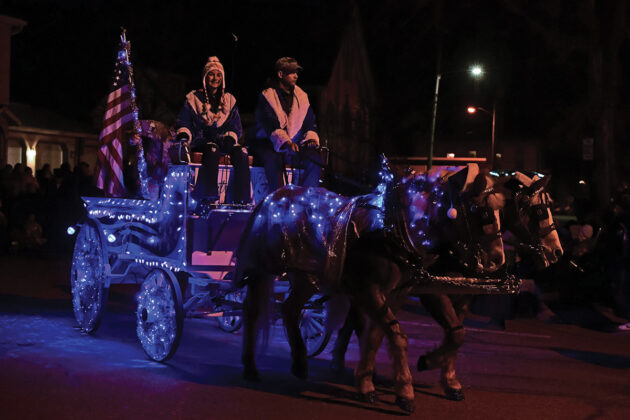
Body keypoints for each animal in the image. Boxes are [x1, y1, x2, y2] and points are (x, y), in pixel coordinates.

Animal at [235, 159, 506, 412]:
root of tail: (272, 195)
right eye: (479, 210)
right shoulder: (370, 290)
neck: (395, 228)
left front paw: (374, 381)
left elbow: (384, 335)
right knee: (252, 312)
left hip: (306, 276)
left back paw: (301, 363)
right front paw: (404, 391)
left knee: (291, 309)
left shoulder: (401, 292)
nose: (497, 260)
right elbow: (395, 335)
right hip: (261, 268)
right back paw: (250, 366)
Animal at [418, 171, 564, 400]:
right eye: (540, 211)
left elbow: (456, 336)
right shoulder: (432, 291)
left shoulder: (464, 295)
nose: (558, 251)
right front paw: (430, 360)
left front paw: (449, 379)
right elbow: (455, 335)